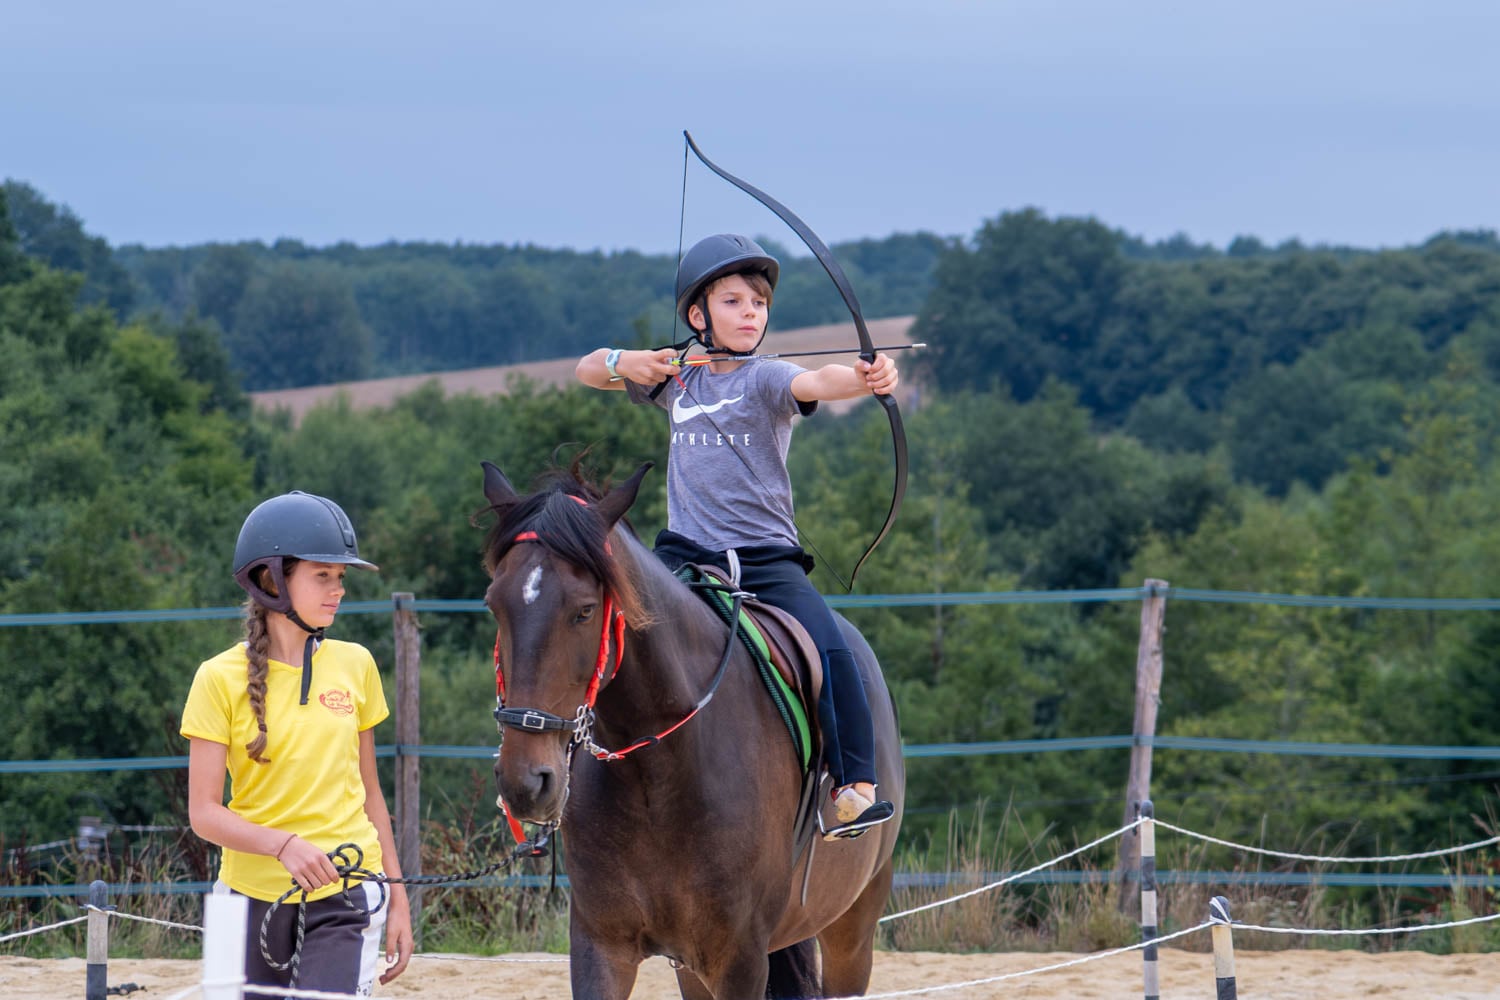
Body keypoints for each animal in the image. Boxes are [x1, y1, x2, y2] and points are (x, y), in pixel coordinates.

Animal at [477, 458, 905, 1000]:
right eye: (494, 604)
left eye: (585, 610)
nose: (526, 782)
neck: (658, 775)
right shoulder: (603, 947)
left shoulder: (739, 960)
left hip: (851, 931)